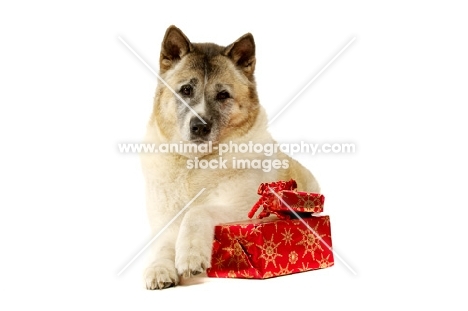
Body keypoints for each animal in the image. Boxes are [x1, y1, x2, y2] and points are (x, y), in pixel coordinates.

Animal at [141, 26, 320, 290]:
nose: (200, 126)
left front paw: (190, 254)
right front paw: (159, 268)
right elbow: (163, 245)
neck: (195, 163)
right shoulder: (165, 223)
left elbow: (198, 212)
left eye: (223, 95)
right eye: (186, 90)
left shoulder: (245, 209)